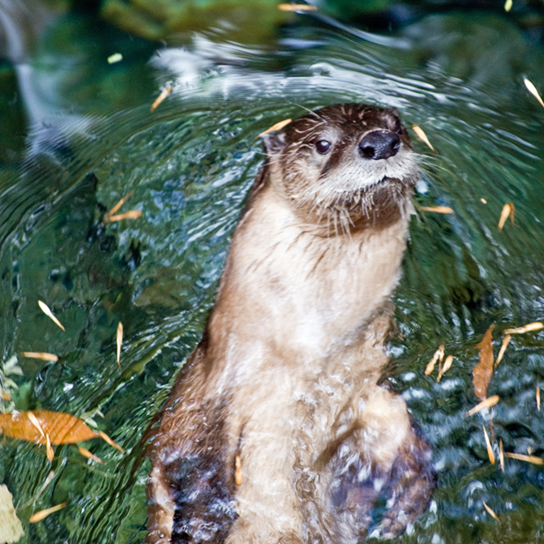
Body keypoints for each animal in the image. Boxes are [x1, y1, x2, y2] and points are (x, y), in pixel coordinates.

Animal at [147, 104, 436, 540]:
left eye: (396, 126)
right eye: (322, 143)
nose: (380, 143)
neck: (308, 348)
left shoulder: (371, 396)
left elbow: (405, 440)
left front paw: (407, 498)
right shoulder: (214, 395)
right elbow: (195, 472)